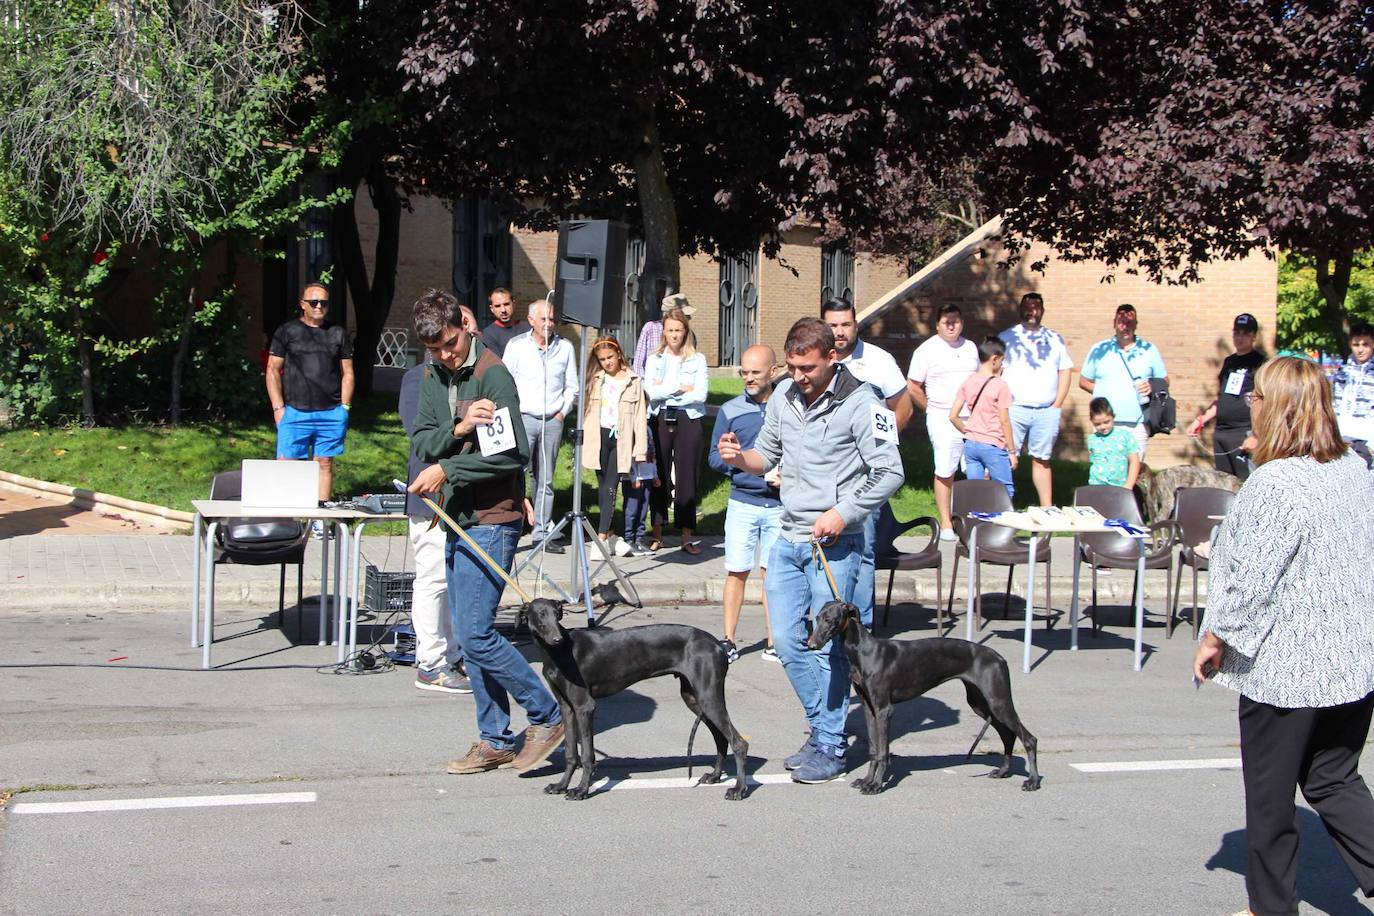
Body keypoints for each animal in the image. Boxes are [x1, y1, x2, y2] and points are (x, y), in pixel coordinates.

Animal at [522, 598, 752, 796]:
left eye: (557, 614)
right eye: (541, 614)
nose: (557, 639)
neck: (558, 653)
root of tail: (718, 645)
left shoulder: (584, 707)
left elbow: (587, 754)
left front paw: (581, 790)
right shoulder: (567, 707)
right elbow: (571, 753)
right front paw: (560, 786)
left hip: (708, 698)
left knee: (739, 742)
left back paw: (739, 790)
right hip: (694, 698)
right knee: (721, 738)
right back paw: (715, 776)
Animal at [802, 601, 1038, 796]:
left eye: (829, 619)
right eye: (816, 617)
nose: (810, 644)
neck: (864, 651)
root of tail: (1000, 658)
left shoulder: (884, 710)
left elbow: (883, 752)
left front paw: (876, 785)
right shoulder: (870, 708)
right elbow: (873, 750)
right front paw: (867, 780)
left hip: (998, 701)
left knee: (1029, 738)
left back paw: (1033, 781)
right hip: (980, 703)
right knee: (1008, 735)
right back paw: (1003, 771)